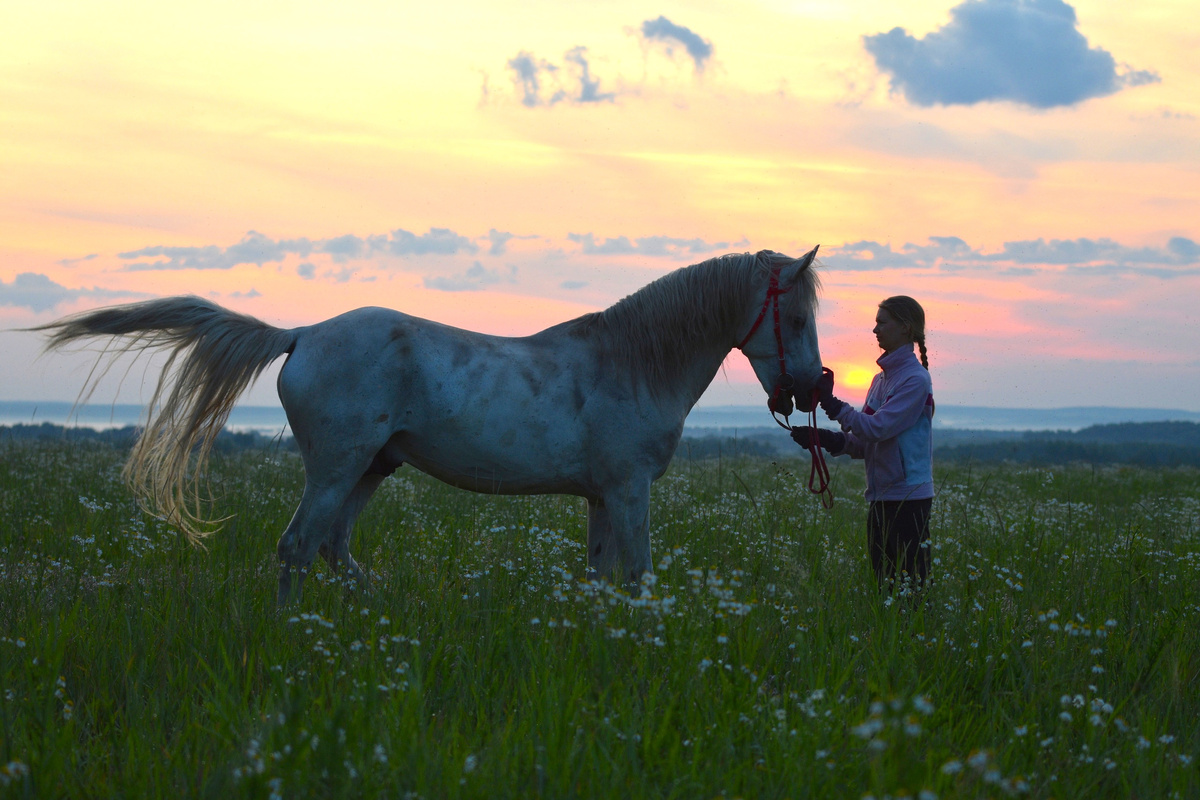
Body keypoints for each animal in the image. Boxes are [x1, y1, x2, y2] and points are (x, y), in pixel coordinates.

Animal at [37, 247, 825, 604]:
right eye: (794, 317)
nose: (814, 387)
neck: (632, 363)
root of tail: (302, 335)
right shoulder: (630, 491)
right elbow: (637, 575)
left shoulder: (603, 496)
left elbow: (599, 578)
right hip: (337, 466)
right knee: (298, 546)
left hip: (373, 468)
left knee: (335, 548)